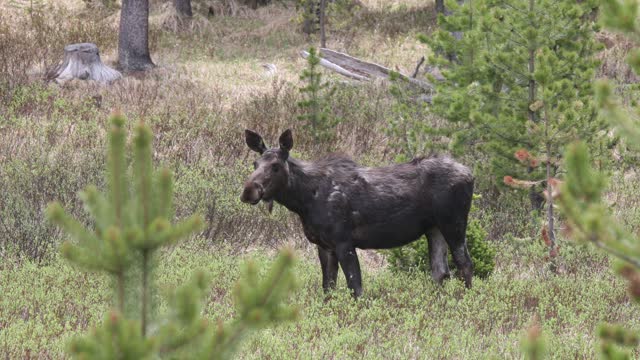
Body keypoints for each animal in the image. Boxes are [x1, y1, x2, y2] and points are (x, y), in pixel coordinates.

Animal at [240, 129, 476, 298]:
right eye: (254, 163)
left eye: (276, 166)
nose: (248, 191)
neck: (303, 202)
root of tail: (471, 174)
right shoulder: (324, 246)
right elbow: (328, 290)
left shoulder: (344, 241)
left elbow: (356, 289)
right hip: (434, 229)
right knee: (440, 271)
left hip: (453, 223)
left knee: (465, 264)